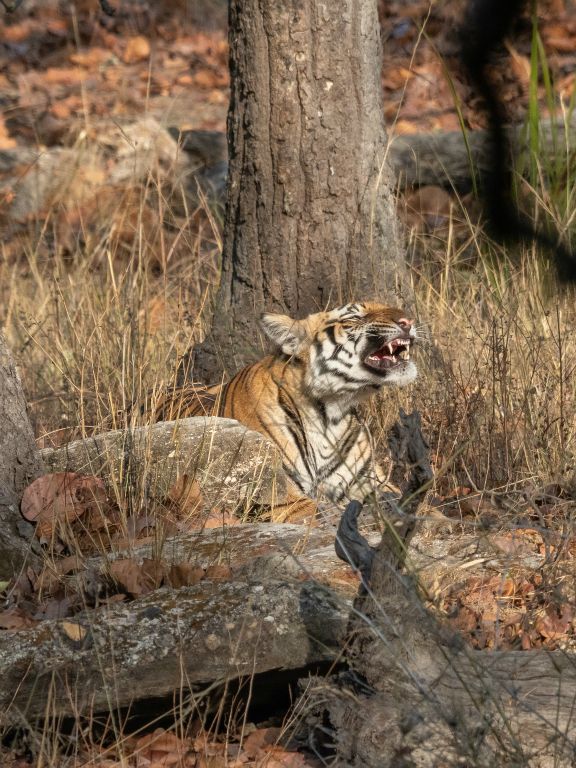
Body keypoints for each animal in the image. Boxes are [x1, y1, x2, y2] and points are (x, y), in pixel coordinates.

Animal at [150, 304, 418, 524]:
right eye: (355, 317)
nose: (408, 321)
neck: (330, 414)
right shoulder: (277, 494)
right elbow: (312, 511)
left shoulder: (374, 480)